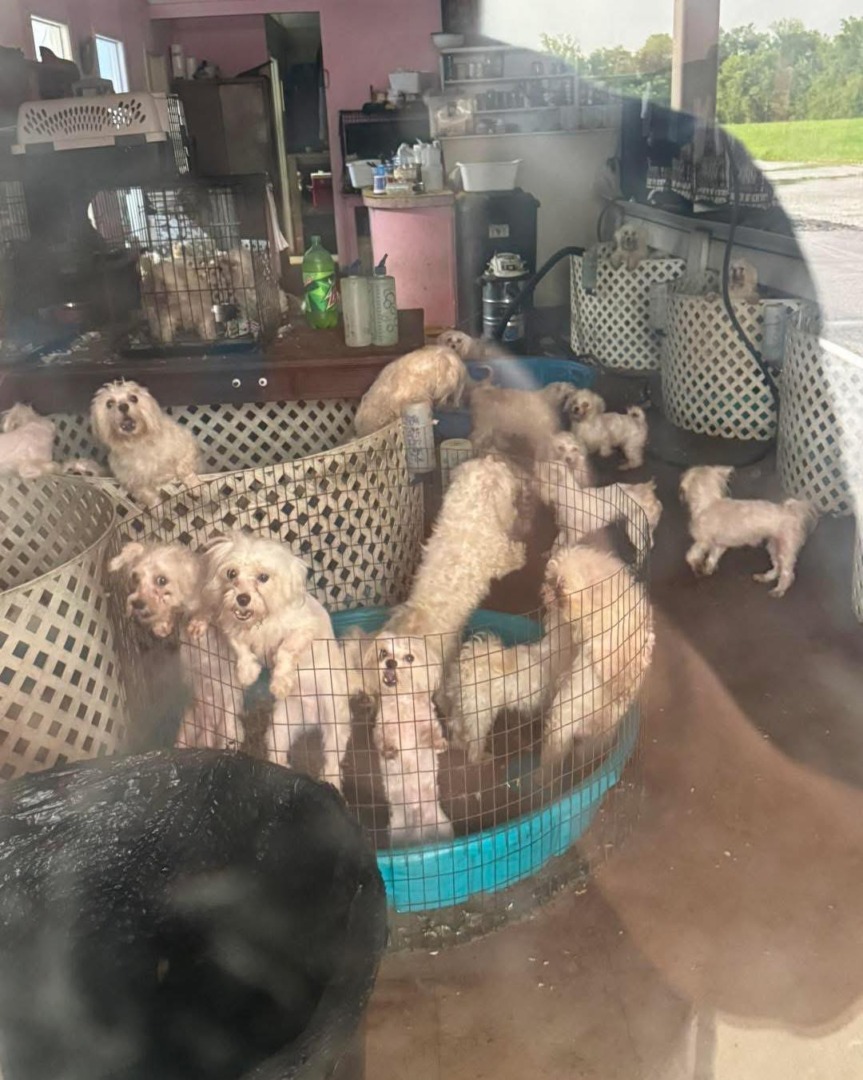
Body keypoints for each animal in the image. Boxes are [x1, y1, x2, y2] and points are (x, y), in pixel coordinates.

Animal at [680, 466, 815, 597]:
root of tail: (792, 512)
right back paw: (765, 577)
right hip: (774, 546)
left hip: (785, 548)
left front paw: (697, 566)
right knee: (778, 566)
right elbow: (712, 558)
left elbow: (690, 555)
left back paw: (778, 590)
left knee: (787, 573)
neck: (709, 503)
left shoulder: (703, 541)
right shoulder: (719, 545)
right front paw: (708, 569)